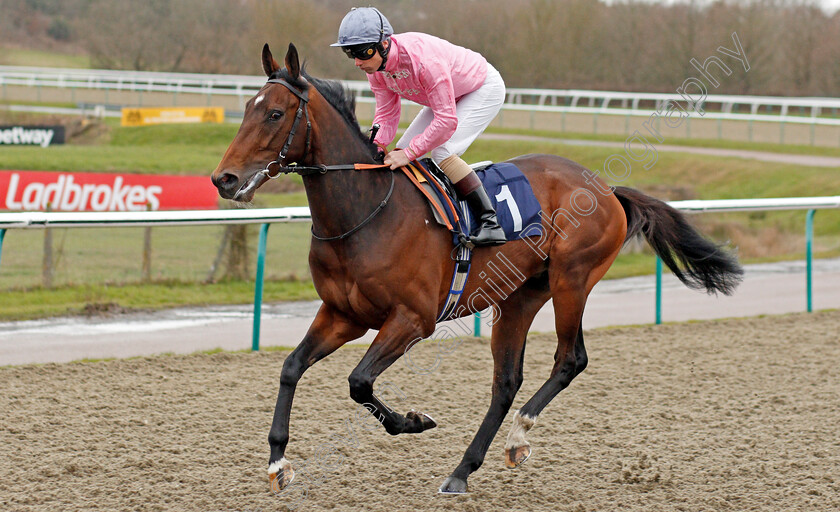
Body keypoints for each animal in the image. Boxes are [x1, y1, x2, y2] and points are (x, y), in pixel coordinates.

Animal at [212, 44, 740, 496]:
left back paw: (518, 438)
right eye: (245, 109)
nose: (225, 179)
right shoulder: (344, 315)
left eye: (275, 113)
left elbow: (358, 381)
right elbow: (290, 367)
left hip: (572, 280)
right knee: (506, 381)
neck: (365, 212)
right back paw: (462, 470)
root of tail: (607, 188)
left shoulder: (412, 320)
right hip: (520, 297)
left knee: (570, 359)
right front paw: (278, 464)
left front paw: (415, 420)